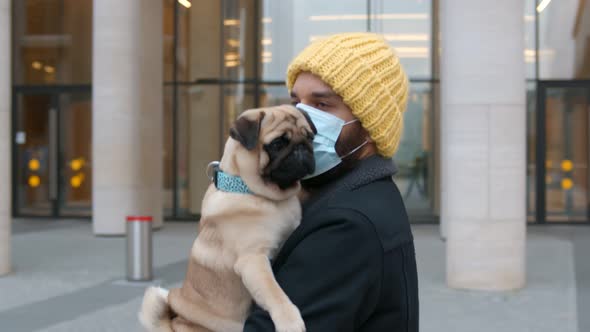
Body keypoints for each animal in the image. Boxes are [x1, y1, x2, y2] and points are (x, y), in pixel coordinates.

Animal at [139, 105, 316, 332]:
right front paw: (289, 321)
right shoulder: (253, 261)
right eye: (277, 144)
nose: (302, 148)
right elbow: (275, 293)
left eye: (310, 137)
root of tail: (174, 324)